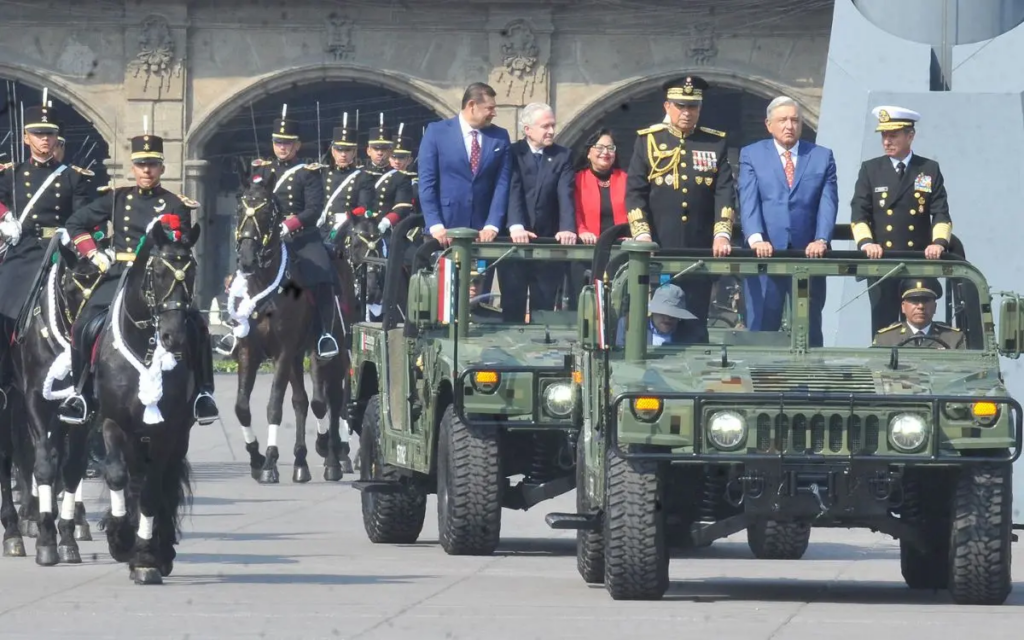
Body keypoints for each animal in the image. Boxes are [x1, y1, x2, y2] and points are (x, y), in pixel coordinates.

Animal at [2, 237, 102, 561]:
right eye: (71, 288)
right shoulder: (34, 399)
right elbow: (44, 463)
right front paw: (45, 535)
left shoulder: (84, 411)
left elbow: (71, 468)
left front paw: (67, 535)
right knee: (8, 456)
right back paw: (14, 529)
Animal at [93, 221, 200, 585]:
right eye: (158, 272)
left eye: (191, 272)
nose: (174, 337)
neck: (145, 345)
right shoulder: (112, 422)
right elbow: (116, 475)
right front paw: (120, 537)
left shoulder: (167, 432)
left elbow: (154, 492)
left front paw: (145, 557)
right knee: (135, 478)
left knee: (163, 481)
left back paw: (160, 548)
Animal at [227, 184, 352, 483]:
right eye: (240, 209)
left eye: (266, 213)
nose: (246, 259)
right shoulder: (250, 350)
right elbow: (242, 407)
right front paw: (257, 457)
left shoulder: (283, 352)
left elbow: (275, 405)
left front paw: (270, 462)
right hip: (298, 356)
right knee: (303, 402)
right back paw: (301, 463)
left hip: (332, 351)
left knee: (331, 400)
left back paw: (333, 459)